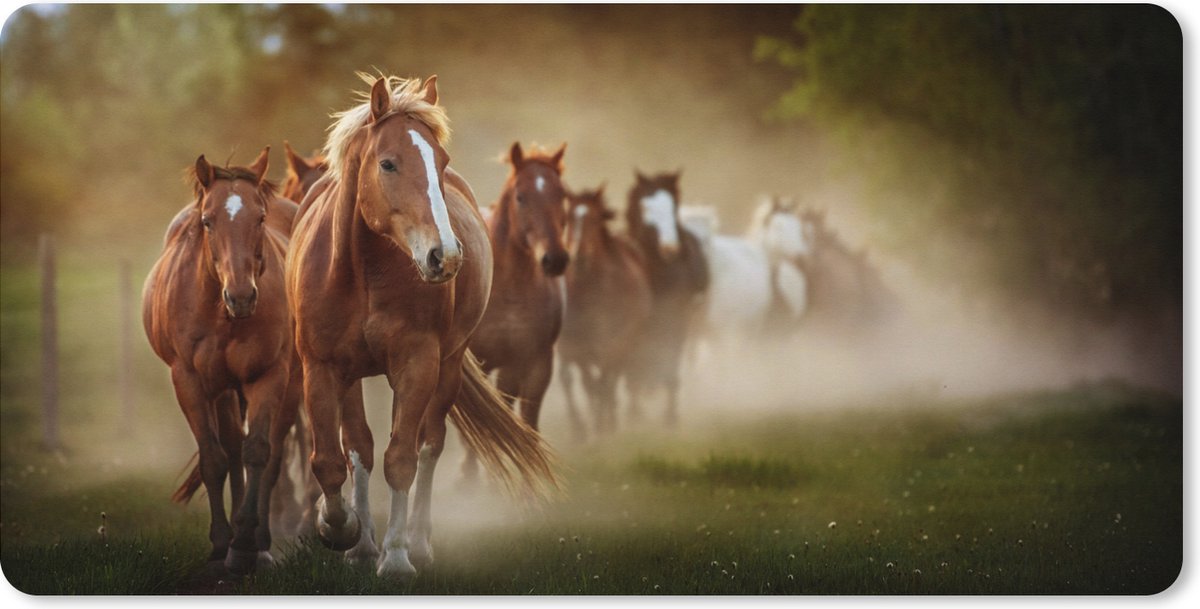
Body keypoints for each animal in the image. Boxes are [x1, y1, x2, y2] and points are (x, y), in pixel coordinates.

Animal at [142, 147, 301, 575]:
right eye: (208, 221)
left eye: (259, 218)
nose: (242, 296)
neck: (221, 313)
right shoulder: (189, 380)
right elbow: (214, 458)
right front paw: (220, 543)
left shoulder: (269, 375)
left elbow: (258, 451)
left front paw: (246, 543)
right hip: (224, 389)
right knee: (229, 447)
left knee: (267, 453)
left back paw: (259, 541)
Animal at [286, 73, 557, 579]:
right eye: (388, 163)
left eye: (441, 162)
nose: (444, 256)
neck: (363, 272)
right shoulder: (321, 368)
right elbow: (334, 459)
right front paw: (341, 529)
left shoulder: (417, 364)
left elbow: (403, 459)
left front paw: (396, 556)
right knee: (360, 446)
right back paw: (362, 544)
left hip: (444, 367)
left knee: (427, 445)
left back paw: (416, 541)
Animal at [558, 184, 652, 437]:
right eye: (567, 218)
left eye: (594, 218)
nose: (579, 257)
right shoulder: (577, 346)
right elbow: (590, 384)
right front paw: (595, 427)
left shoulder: (619, 340)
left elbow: (606, 382)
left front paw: (605, 425)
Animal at [623, 170, 709, 425]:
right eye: (644, 207)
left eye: (673, 207)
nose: (669, 248)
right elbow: (634, 364)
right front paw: (634, 412)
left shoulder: (678, 317)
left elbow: (671, 358)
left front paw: (670, 415)